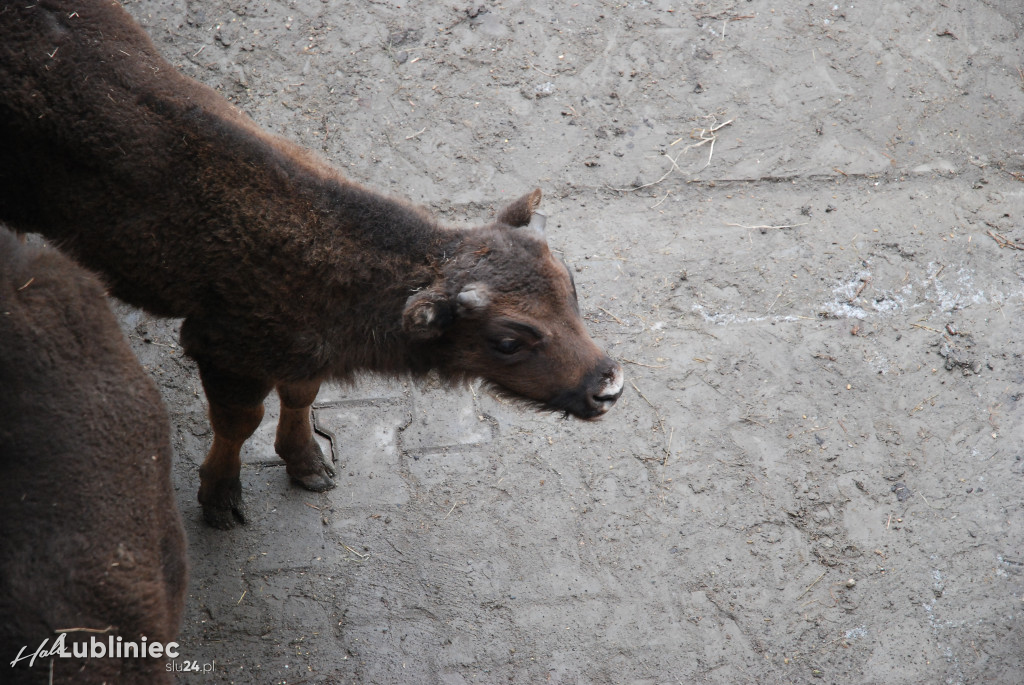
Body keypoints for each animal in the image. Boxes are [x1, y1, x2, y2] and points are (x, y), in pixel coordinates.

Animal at [0, 0, 622, 528]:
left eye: (572, 288)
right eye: (508, 341)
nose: (607, 387)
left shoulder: (304, 353)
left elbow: (301, 396)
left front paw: (310, 467)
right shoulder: (224, 352)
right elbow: (239, 421)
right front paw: (220, 502)